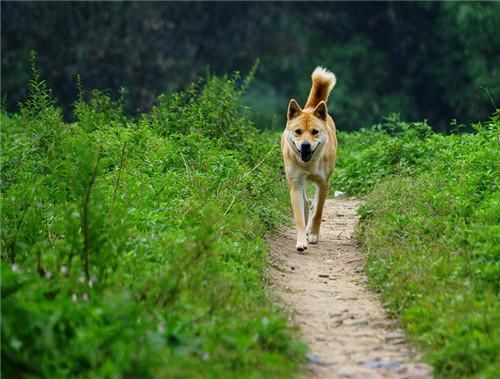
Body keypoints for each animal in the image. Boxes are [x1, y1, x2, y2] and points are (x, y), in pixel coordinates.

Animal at [280, 67, 338, 252]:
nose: (305, 145)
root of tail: (311, 108)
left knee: (313, 206)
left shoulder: (324, 182)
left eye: (315, 132)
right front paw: (301, 242)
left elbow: (318, 210)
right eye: (298, 131)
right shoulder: (296, 183)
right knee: (306, 204)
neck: (309, 163)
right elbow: (299, 216)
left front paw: (312, 235)